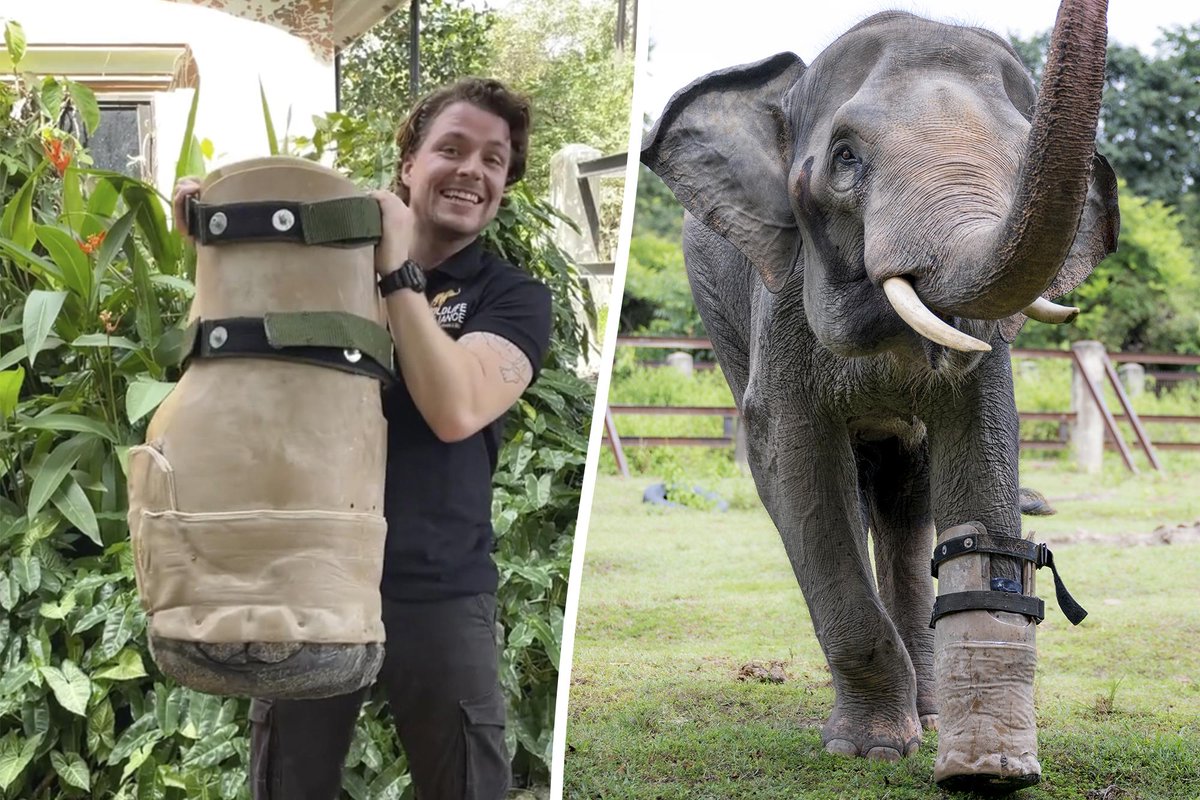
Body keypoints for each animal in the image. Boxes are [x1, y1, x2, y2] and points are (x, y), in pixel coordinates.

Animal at [641, 0, 1116, 780]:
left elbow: (978, 445)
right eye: (844, 159)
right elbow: (793, 460)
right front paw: (867, 749)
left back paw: (931, 710)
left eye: (1024, 158)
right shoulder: (784, 298)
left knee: (905, 494)